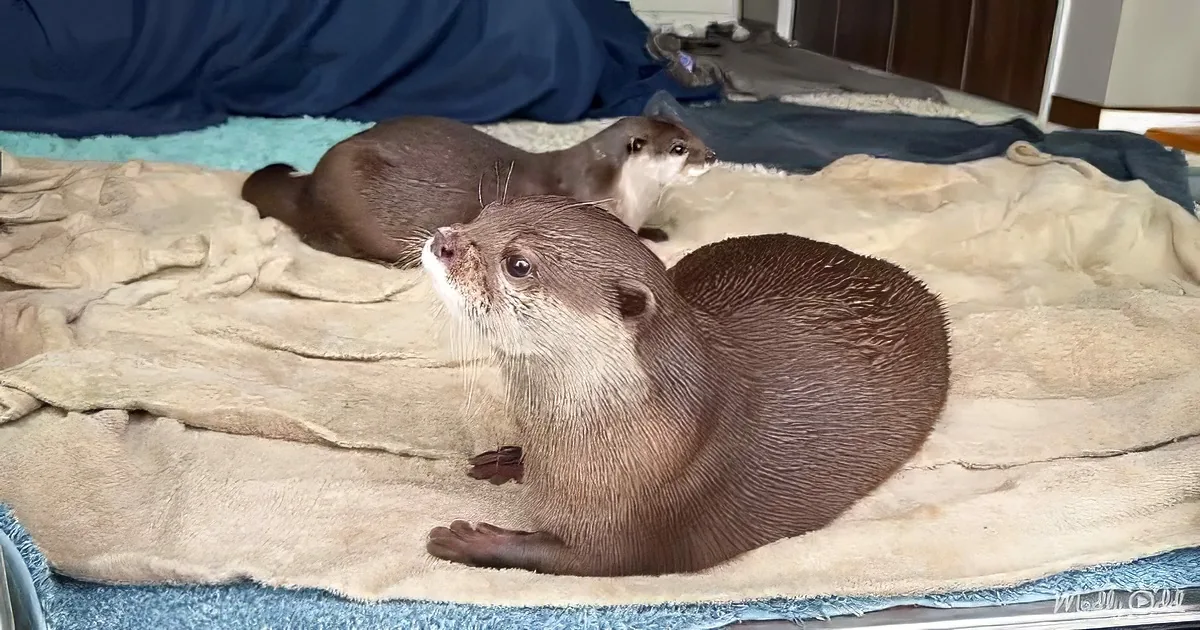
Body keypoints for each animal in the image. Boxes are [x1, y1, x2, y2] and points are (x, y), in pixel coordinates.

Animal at [240, 116, 715, 266]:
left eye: (693, 133)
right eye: (679, 148)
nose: (711, 155)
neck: (625, 196)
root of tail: (310, 185)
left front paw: (656, 232)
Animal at [420, 196, 951, 577]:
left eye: (518, 264)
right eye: (486, 212)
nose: (443, 239)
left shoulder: (640, 526)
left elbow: (575, 559)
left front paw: (470, 538)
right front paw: (509, 457)